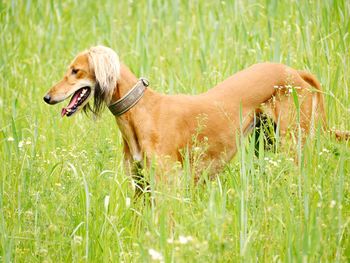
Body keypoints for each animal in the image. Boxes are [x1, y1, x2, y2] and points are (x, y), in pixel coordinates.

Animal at [43, 46, 348, 188]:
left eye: (75, 71)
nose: (47, 97)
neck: (140, 111)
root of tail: (295, 72)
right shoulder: (141, 187)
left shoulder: (167, 187)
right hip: (266, 143)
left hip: (290, 146)